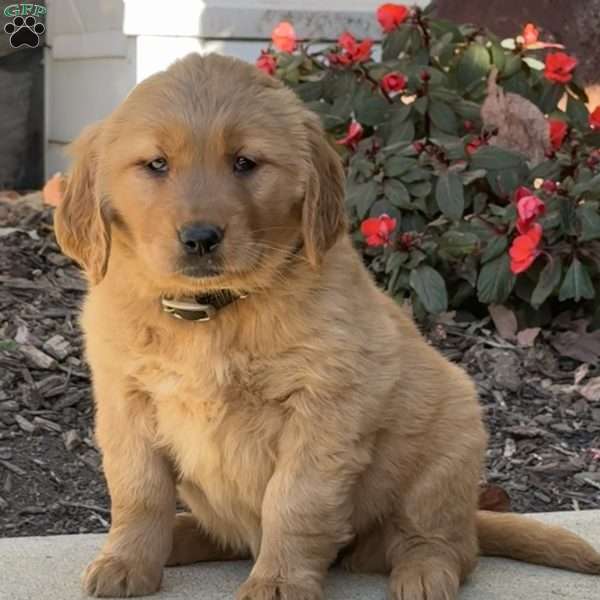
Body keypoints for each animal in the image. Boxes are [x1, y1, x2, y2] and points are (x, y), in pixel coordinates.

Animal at [54, 52, 596, 600]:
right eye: (156, 164)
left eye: (245, 163)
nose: (201, 237)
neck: (214, 313)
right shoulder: (126, 402)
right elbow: (139, 492)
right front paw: (125, 562)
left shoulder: (326, 409)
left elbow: (294, 501)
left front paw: (278, 582)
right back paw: (182, 536)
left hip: (449, 447)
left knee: (448, 545)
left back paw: (424, 572)